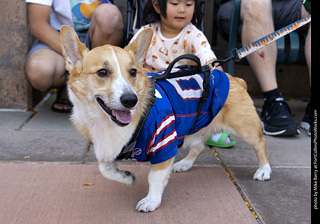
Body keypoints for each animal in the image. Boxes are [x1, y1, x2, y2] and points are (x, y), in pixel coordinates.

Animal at [60, 25, 272, 213]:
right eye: (102, 72)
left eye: (133, 72)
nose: (130, 100)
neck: (106, 123)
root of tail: (235, 79)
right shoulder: (107, 149)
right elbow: (105, 169)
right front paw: (126, 177)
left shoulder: (164, 144)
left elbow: (154, 178)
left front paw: (151, 201)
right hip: (196, 126)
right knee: (199, 146)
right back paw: (184, 164)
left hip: (244, 128)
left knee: (260, 143)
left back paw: (264, 170)